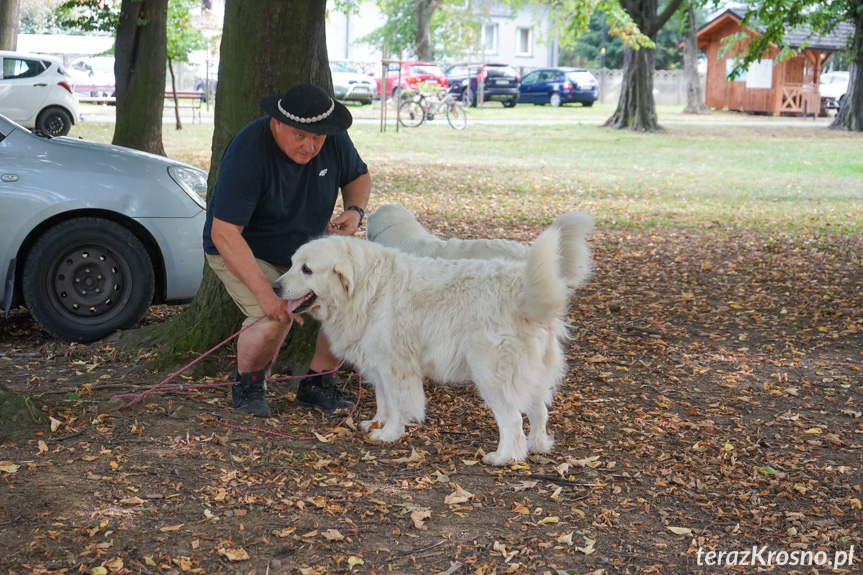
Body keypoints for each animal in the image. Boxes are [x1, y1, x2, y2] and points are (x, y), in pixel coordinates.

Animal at [276, 218, 592, 466]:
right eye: (291, 264)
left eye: (306, 269)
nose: (275, 287)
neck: (365, 289)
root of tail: (521, 292)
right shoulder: (378, 365)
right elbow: (383, 401)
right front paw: (376, 423)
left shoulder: (396, 368)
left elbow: (397, 405)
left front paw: (389, 434)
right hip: (532, 374)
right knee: (540, 411)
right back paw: (537, 446)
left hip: (491, 376)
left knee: (513, 420)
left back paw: (504, 457)